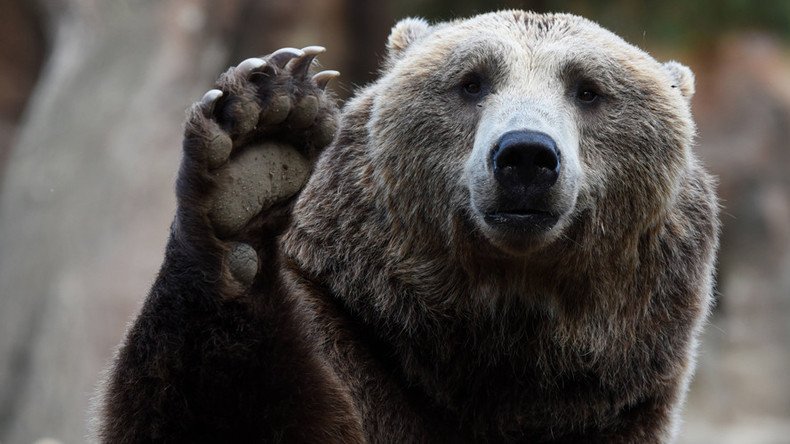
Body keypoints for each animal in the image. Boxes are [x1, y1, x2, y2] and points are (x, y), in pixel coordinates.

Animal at [99, 10, 724, 444]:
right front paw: (257, 146)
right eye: (471, 82)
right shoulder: (351, 345)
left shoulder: (613, 410)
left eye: (588, 90)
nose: (525, 155)